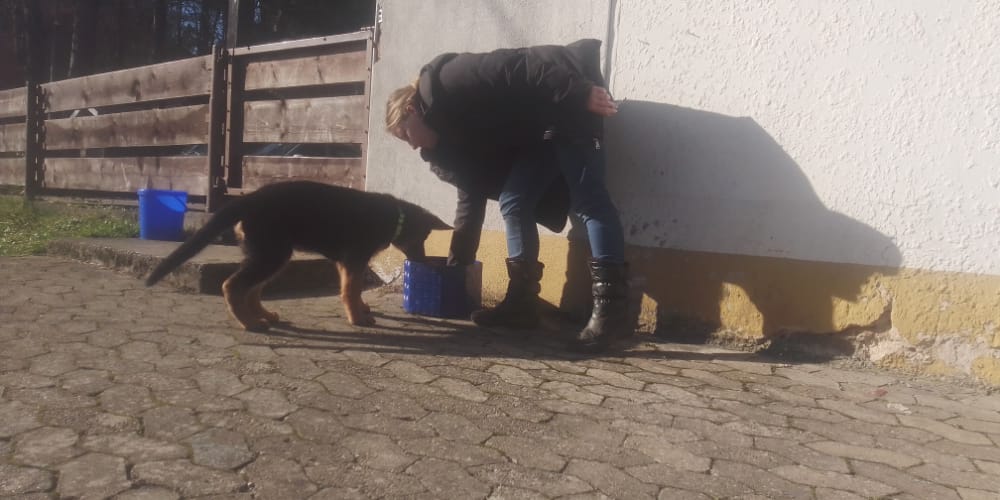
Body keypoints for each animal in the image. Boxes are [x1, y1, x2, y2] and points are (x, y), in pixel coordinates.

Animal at [145, 181, 450, 330]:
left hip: (270, 254)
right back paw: (249, 323)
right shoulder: (354, 259)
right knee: (232, 285)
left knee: (252, 290)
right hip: (271, 254)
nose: (425, 262)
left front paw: (361, 309)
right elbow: (351, 290)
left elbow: (349, 289)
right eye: (424, 239)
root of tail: (248, 199)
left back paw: (263, 316)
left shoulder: (345, 263)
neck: (395, 217)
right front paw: (358, 318)